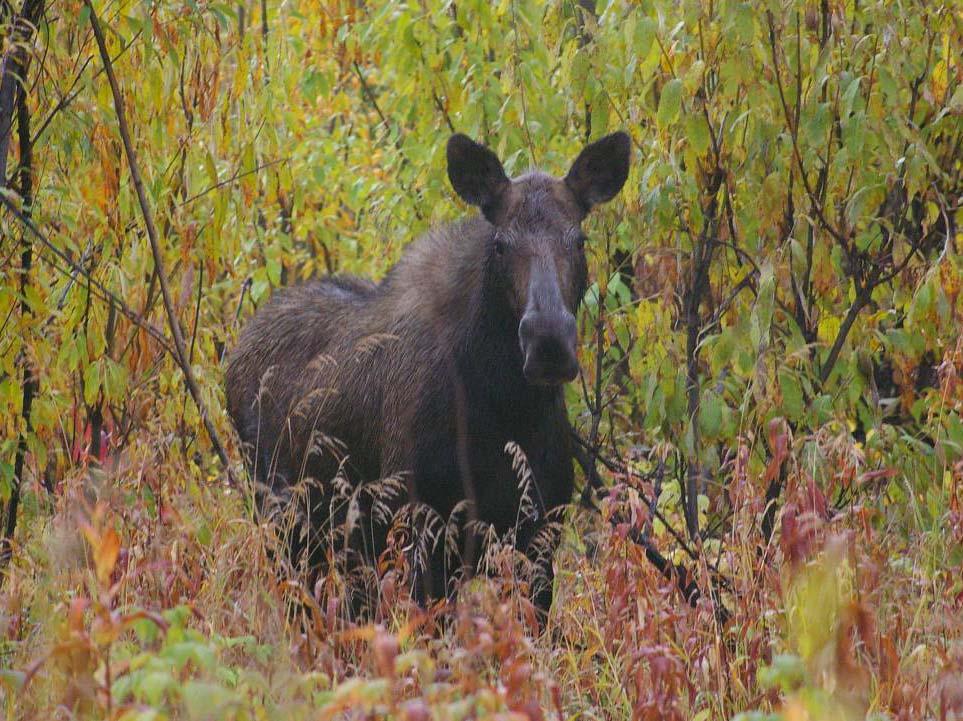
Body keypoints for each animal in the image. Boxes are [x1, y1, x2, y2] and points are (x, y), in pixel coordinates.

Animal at [225, 131, 632, 620]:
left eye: (580, 239)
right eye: (500, 243)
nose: (548, 340)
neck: (509, 408)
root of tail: (237, 351)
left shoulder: (539, 537)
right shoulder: (424, 534)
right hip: (285, 523)